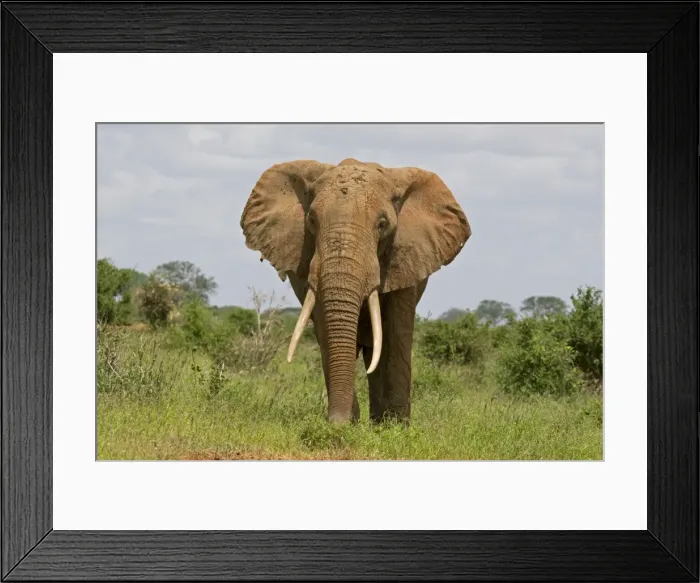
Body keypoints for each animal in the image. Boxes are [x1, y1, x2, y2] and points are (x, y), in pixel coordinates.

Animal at [240, 158, 472, 424]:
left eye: (382, 224)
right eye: (311, 221)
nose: (336, 423)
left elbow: (397, 333)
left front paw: (395, 427)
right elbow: (326, 329)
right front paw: (348, 423)